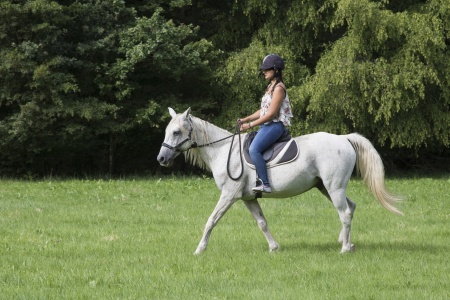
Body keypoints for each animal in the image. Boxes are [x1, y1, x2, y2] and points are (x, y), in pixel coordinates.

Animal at [156, 106, 402, 254]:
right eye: (168, 131)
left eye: (176, 132)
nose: (161, 158)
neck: (225, 150)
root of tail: (344, 139)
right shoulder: (248, 198)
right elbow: (262, 222)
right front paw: (274, 247)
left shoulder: (229, 195)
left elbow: (211, 220)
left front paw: (199, 249)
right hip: (326, 188)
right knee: (350, 207)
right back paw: (346, 243)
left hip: (334, 188)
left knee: (345, 212)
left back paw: (344, 249)